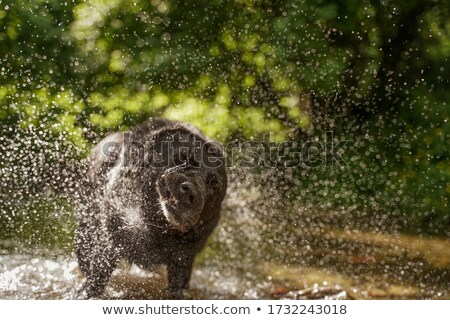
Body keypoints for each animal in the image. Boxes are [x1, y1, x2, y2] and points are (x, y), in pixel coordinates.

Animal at [76, 119, 229, 298]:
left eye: (214, 184)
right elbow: (95, 281)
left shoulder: (182, 262)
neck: (158, 228)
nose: (189, 192)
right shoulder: (111, 244)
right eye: (183, 158)